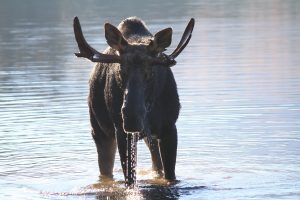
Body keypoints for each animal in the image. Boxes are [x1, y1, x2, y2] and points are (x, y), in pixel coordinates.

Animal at [73, 15, 195, 186]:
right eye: (120, 70)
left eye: (150, 71)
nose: (132, 117)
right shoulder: (121, 131)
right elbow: (129, 179)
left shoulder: (169, 127)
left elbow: (170, 176)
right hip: (99, 130)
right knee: (105, 168)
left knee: (156, 164)